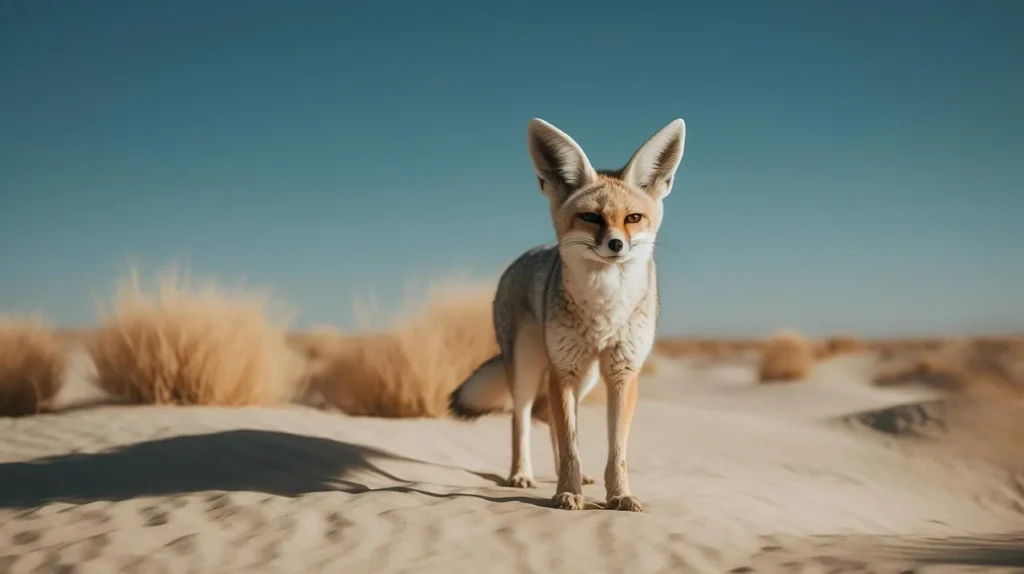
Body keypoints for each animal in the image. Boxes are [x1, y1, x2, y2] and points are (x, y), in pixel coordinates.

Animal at [448, 117, 686, 511]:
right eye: (590, 217)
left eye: (633, 218)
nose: (616, 245)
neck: (605, 307)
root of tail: (526, 255)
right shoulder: (565, 370)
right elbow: (570, 442)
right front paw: (567, 493)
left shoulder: (622, 373)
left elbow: (615, 449)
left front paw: (619, 495)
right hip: (531, 368)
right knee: (522, 419)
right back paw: (521, 475)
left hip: (584, 377)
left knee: (550, 420)